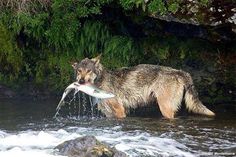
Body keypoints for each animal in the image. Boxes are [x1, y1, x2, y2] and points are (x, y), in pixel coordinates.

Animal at [72, 55, 216, 119]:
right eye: (79, 71)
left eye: (89, 71)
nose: (81, 81)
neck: (100, 79)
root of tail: (180, 72)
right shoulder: (109, 114)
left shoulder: (120, 111)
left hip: (165, 107)